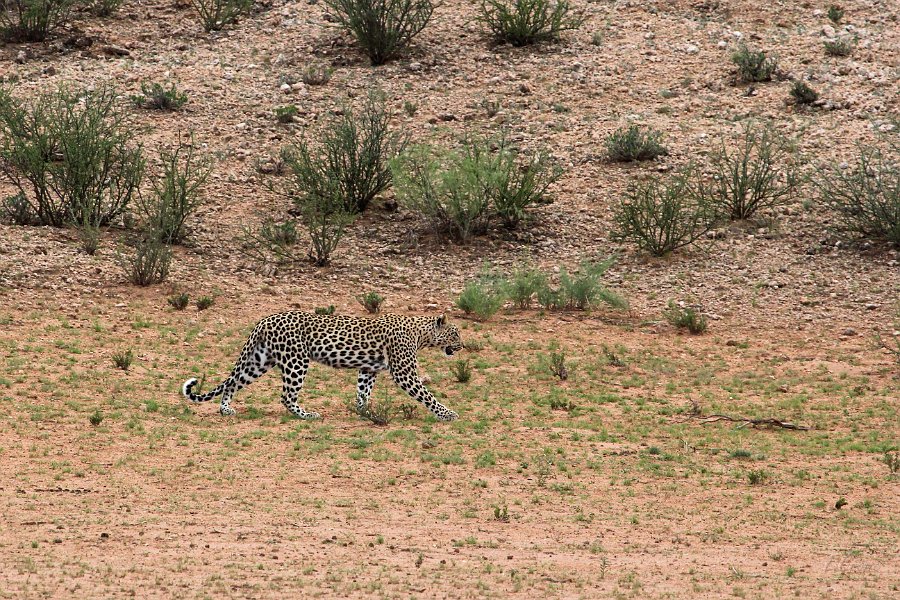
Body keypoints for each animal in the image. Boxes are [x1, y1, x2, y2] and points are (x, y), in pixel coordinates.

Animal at [183, 314, 464, 422]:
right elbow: (426, 395)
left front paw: (364, 411)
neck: (421, 334)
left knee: (232, 383)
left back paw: (226, 409)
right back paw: (307, 415)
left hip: (259, 361)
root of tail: (264, 320)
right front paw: (448, 414)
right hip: (296, 361)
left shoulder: (368, 369)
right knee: (286, 396)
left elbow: (363, 392)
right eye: (455, 333)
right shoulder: (404, 372)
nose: (462, 345)